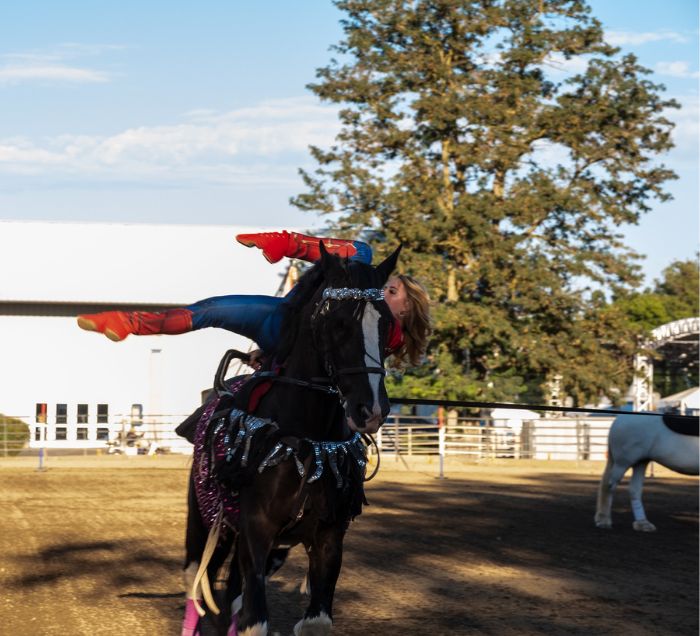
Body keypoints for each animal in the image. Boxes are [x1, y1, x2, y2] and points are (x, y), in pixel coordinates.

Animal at [180, 245, 400, 636]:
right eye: (338, 323)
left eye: (387, 324)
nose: (372, 408)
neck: (309, 440)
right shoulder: (256, 531)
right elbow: (254, 621)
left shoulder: (328, 538)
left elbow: (314, 621)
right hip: (206, 520)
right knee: (196, 584)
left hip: (269, 550)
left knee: (230, 596)